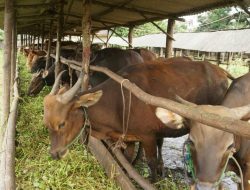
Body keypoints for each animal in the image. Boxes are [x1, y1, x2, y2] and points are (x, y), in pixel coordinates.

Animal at [43, 60, 232, 181]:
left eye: (62, 123)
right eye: (47, 124)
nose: (54, 153)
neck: (119, 101)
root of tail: (220, 71)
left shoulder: (148, 137)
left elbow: (151, 162)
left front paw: (153, 181)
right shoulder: (128, 138)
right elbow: (127, 160)